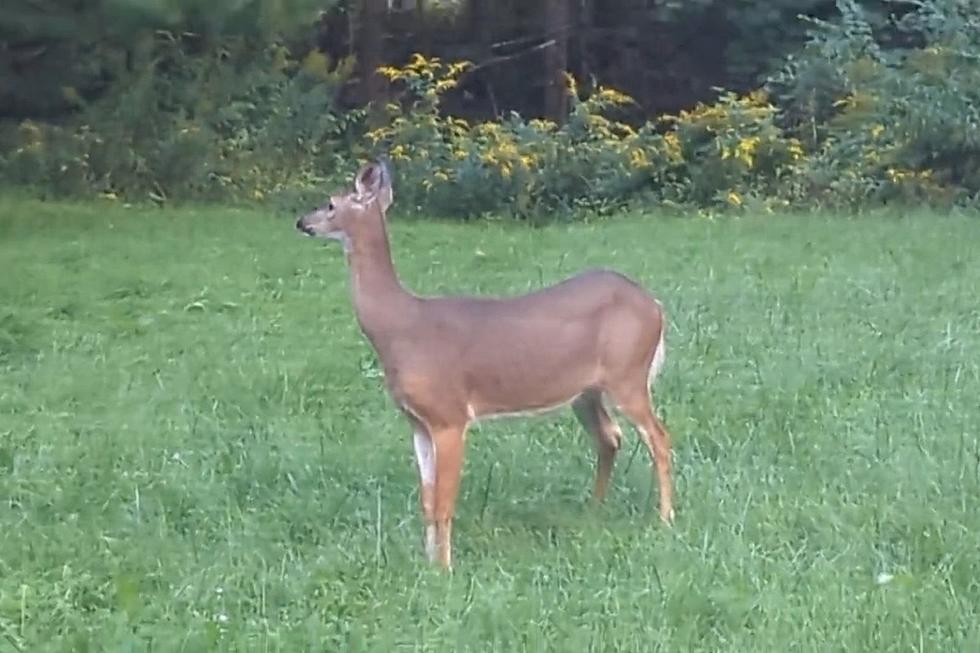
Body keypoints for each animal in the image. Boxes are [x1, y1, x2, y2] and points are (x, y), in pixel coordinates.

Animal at [292, 160, 672, 568]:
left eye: (330, 203)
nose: (301, 221)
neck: (400, 328)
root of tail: (655, 305)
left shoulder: (450, 415)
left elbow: (444, 503)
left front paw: (445, 569)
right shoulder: (418, 422)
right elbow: (427, 502)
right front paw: (428, 562)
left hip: (628, 374)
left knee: (659, 437)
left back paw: (666, 520)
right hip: (586, 392)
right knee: (610, 437)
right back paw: (593, 511)